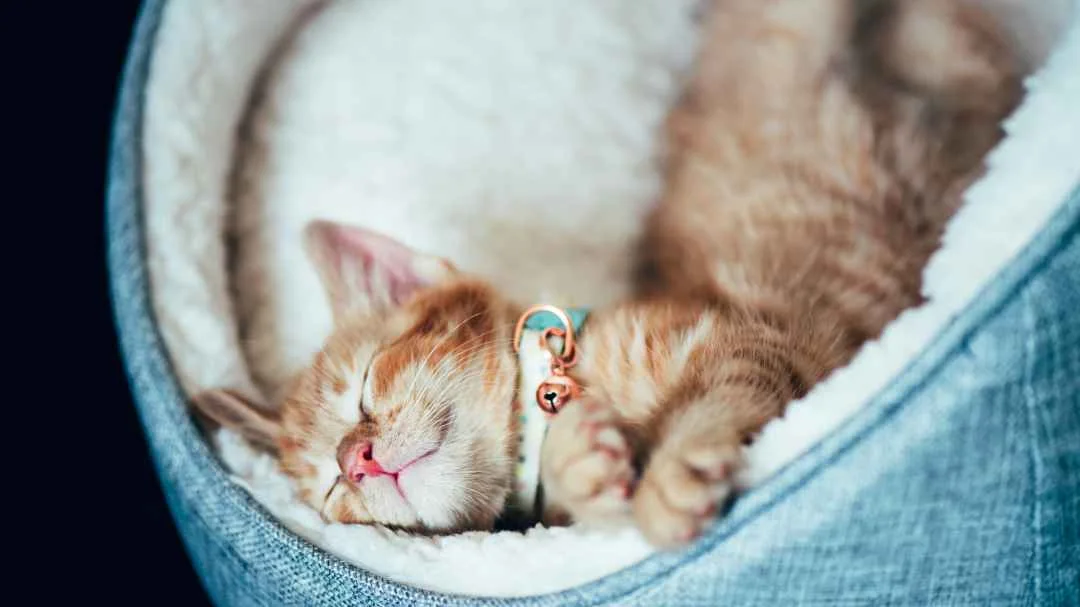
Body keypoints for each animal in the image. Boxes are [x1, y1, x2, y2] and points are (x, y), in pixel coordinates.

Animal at [192, 0, 1019, 546]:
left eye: (363, 387)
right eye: (331, 491)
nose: (355, 459)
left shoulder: (759, 342)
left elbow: (717, 400)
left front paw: (673, 471)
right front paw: (584, 468)